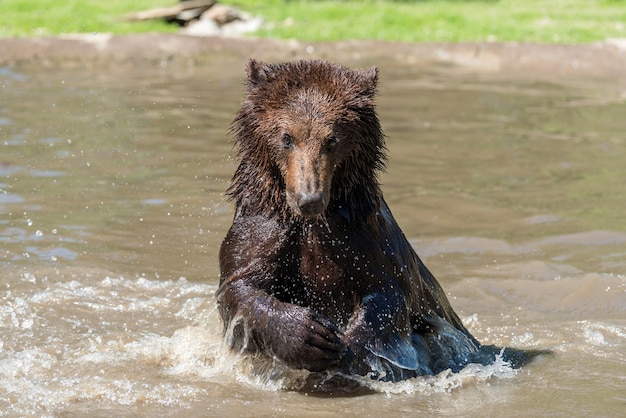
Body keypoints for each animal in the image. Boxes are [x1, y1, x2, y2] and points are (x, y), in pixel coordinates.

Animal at [214, 58, 532, 382]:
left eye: (332, 139)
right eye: (287, 137)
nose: (309, 198)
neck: (313, 223)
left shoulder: (361, 235)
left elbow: (387, 293)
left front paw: (347, 346)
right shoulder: (264, 226)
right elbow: (240, 286)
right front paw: (308, 336)